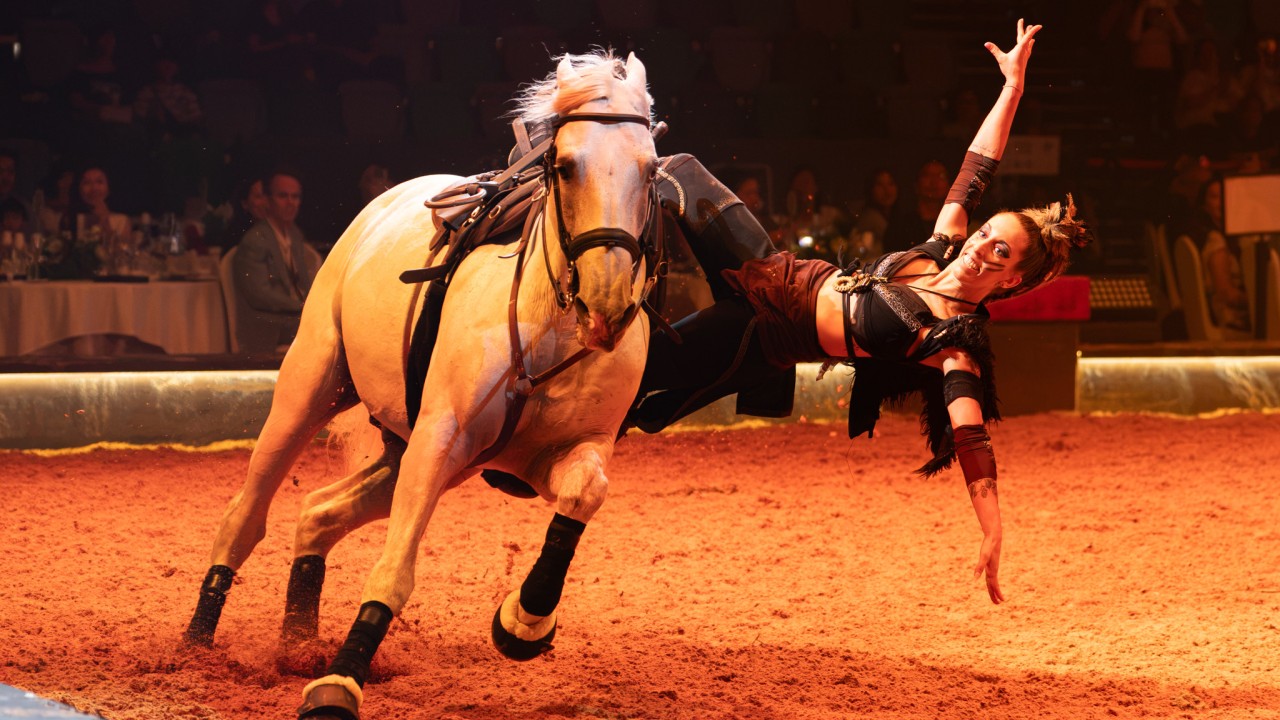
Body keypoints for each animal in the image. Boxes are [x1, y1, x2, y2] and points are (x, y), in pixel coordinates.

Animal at [180, 51, 661, 720]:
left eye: (650, 169)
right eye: (566, 167)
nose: (608, 302)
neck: (549, 323)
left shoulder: (556, 454)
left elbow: (583, 497)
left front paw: (523, 622)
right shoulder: (441, 439)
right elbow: (396, 568)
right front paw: (339, 683)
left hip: (410, 454)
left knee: (317, 514)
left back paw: (299, 645)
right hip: (312, 391)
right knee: (246, 515)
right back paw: (197, 642)